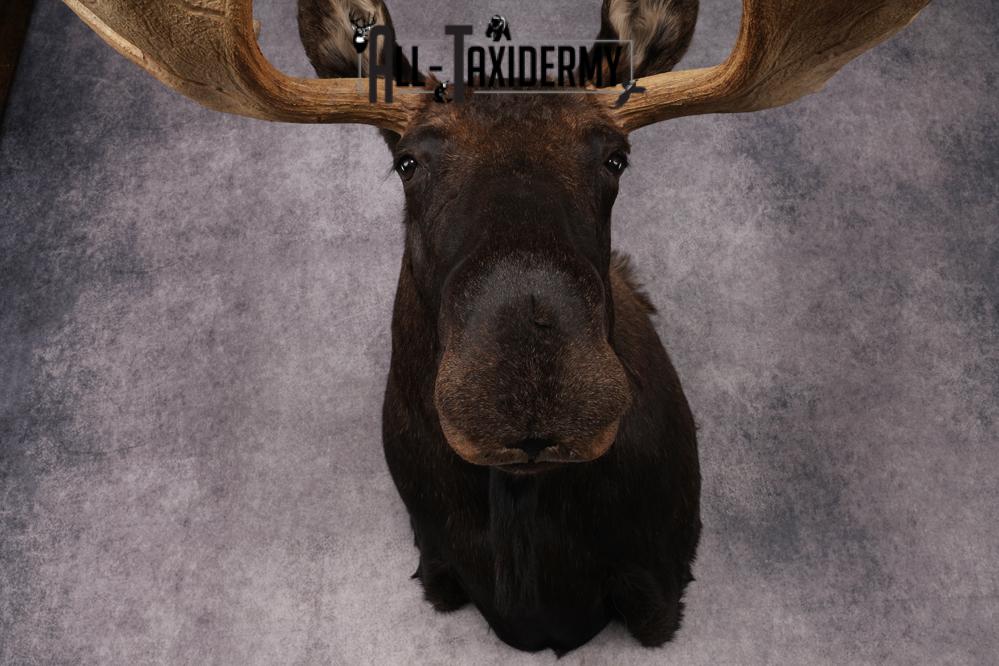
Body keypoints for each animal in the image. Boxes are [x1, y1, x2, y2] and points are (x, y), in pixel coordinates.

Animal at [64, 0, 930, 654]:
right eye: (408, 160)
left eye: (614, 157)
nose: (529, 384)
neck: (530, 541)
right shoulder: (436, 572)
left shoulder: (665, 587)